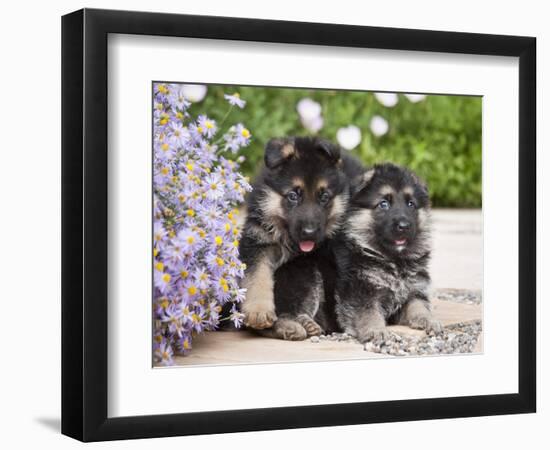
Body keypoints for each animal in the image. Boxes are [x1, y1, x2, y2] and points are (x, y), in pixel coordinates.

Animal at [332, 163, 444, 342]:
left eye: (411, 204)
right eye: (383, 204)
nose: (404, 226)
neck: (394, 260)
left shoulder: (413, 289)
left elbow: (419, 305)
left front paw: (429, 320)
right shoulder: (360, 290)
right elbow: (368, 312)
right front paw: (375, 330)